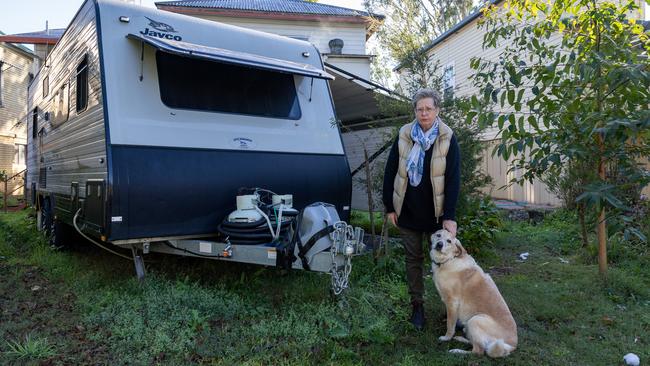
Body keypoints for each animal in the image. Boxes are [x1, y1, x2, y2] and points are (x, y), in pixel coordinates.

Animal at [430, 229, 516, 358]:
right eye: (438, 235)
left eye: (449, 241)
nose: (439, 244)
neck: (449, 260)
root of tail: (512, 346)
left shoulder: (452, 302)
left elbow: (450, 324)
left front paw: (446, 338)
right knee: (477, 345)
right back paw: (462, 338)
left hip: (475, 320)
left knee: (478, 351)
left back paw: (457, 351)